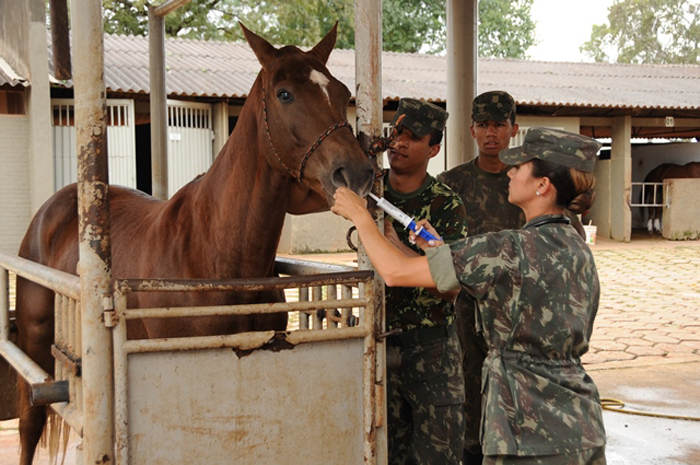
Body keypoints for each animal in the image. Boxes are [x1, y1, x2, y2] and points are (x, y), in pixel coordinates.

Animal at [13, 24, 374, 464]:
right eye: (284, 93)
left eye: (341, 91)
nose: (356, 172)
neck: (215, 256)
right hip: (34, 342)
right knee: (30, 424)